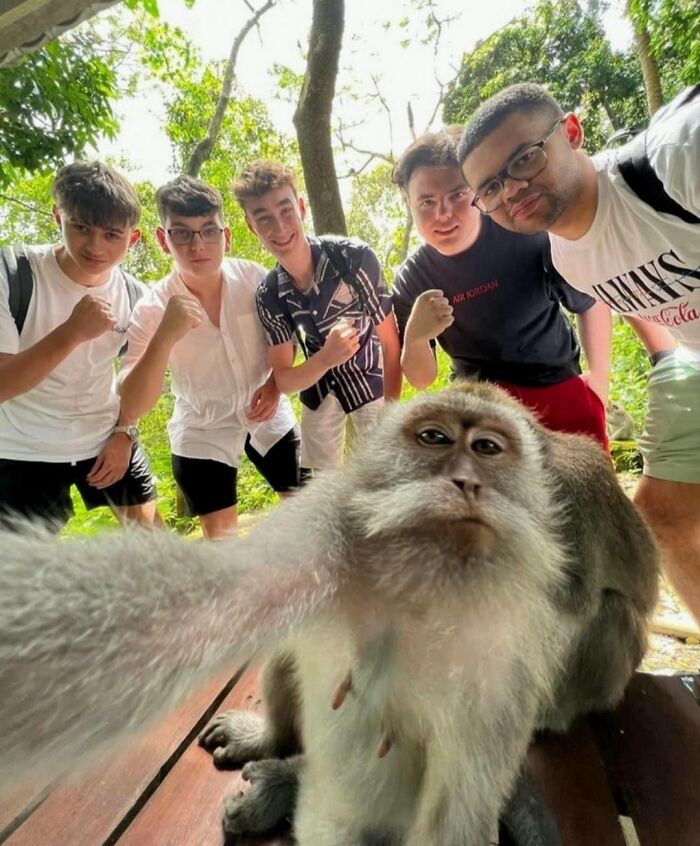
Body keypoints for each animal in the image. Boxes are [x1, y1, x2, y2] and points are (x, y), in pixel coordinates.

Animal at [0, 383, 659, 846]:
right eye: (435, 439)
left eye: (488, 448)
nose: (465, 483)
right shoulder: (328, 520)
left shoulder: (556, 531)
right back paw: (276, 750)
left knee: (605, 615)